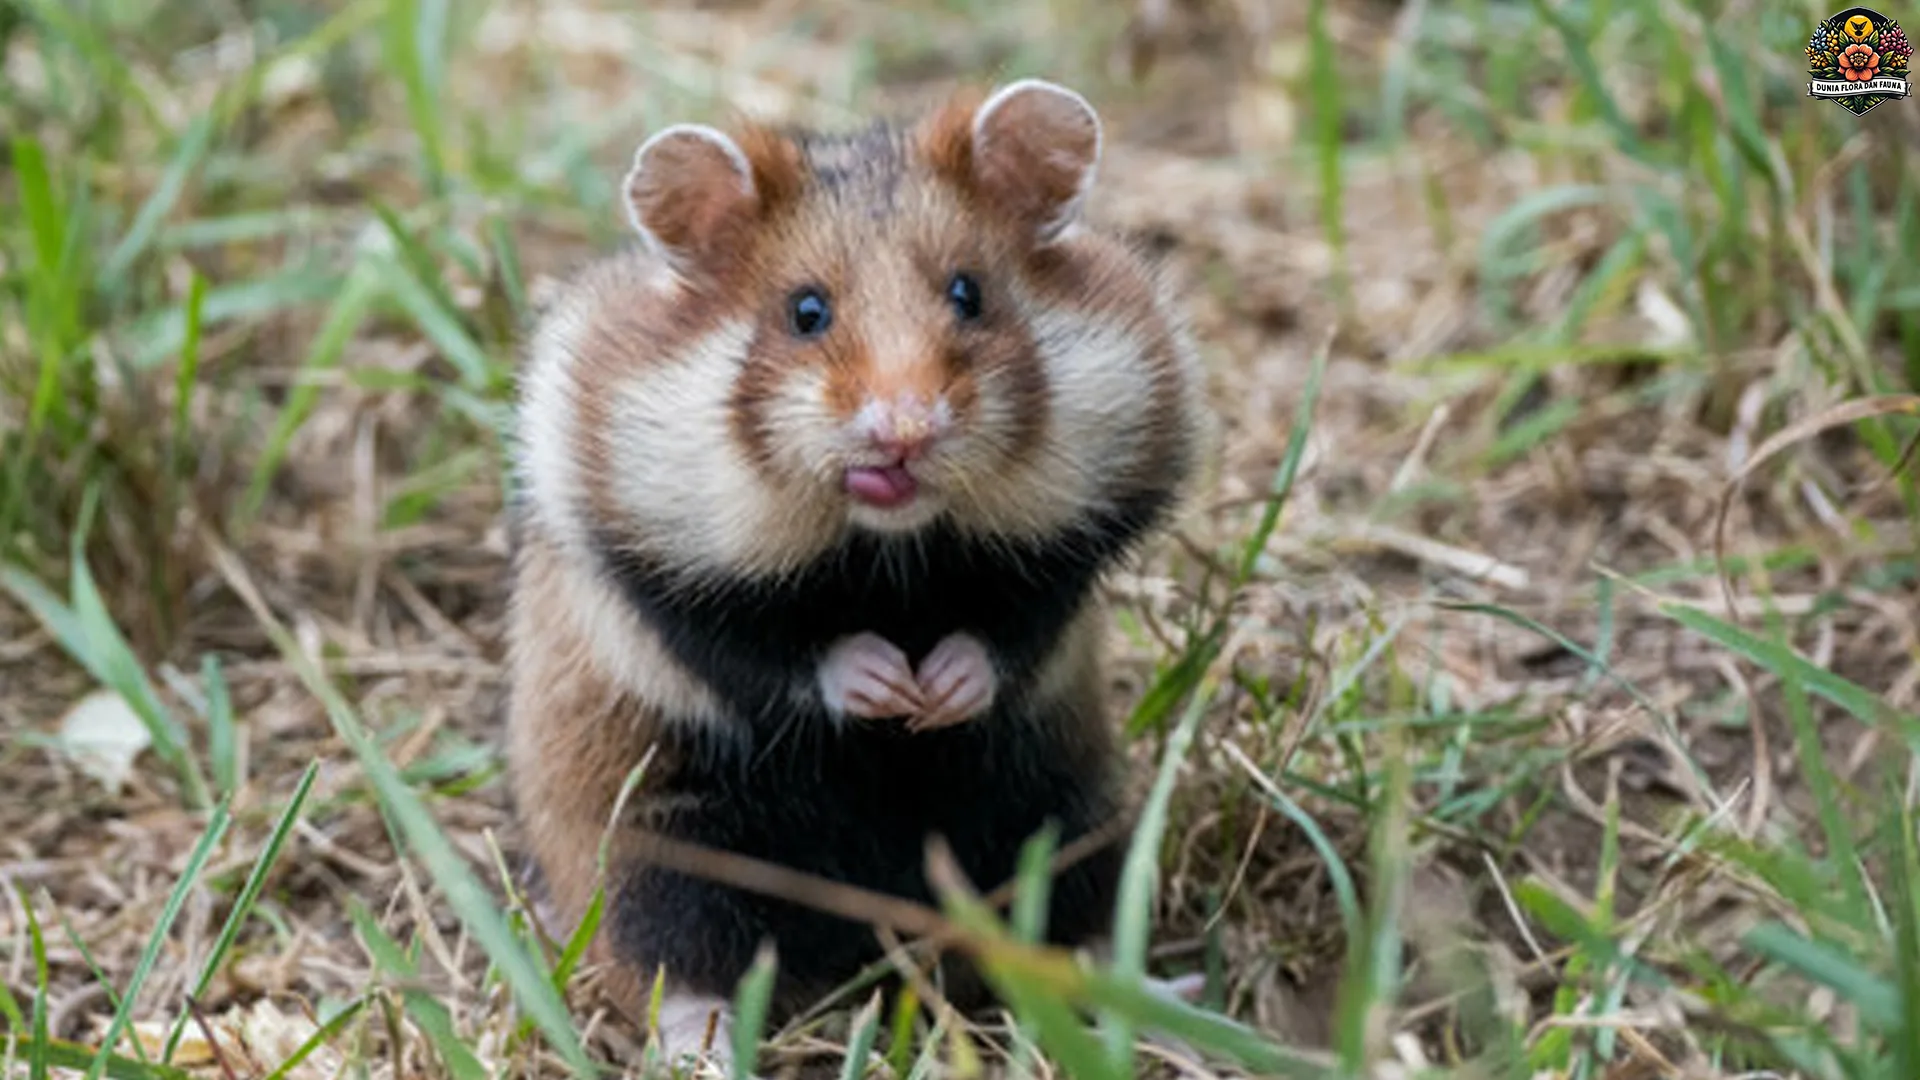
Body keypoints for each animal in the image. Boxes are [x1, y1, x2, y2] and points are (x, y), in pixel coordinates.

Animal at [502, 78, 1209, 1070]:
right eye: (806, 312)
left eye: (969, 294)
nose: (904, 433)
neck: (889, 548)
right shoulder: (641, 552)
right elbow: (769, 650)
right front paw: (888, 687)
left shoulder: (1096, 518)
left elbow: (1015, 623)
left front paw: (937, 692)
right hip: (655, 850)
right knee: (674, 967)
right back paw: (704, 1052)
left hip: (1064, 818)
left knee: (1079, 928)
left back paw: (1167, 1000)